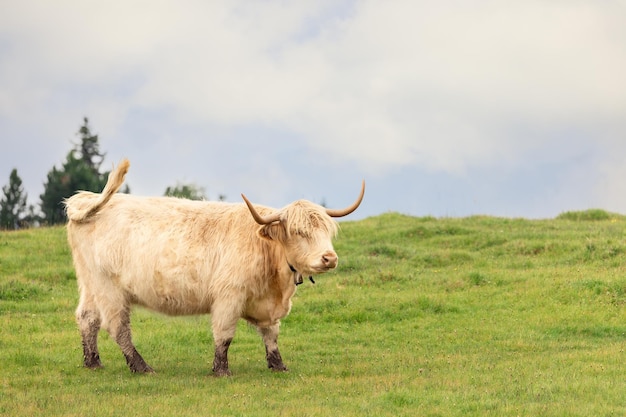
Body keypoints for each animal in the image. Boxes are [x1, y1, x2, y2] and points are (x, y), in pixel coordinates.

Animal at [64, 158, 364, 374]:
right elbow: (224, 335)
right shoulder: (228, 297)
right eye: (299, 232)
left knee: (87, 318)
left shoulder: (266, 306)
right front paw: (221, 370)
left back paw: (93, 362)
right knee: (117, 327)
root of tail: (87, 199)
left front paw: (278, 365)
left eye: (327, 231)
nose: (329, 258)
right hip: (110, 290)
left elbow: (271, 335)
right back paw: (141, 367)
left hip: (91, 285)